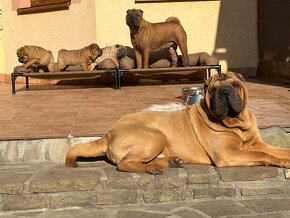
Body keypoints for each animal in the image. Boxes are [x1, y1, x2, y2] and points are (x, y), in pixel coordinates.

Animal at [65, 72, 290, 175]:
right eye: (213, 89)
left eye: (235, 84)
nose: (225, 92)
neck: (236, 123)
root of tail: (108, 133)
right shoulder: (227, 154)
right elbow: (264, 155)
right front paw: (282, 161)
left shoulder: (256, 143)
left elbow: (277, 149)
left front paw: (285, 156)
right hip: (155, 137)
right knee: (124, 164)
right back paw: (153, 169)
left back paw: (171, 162)